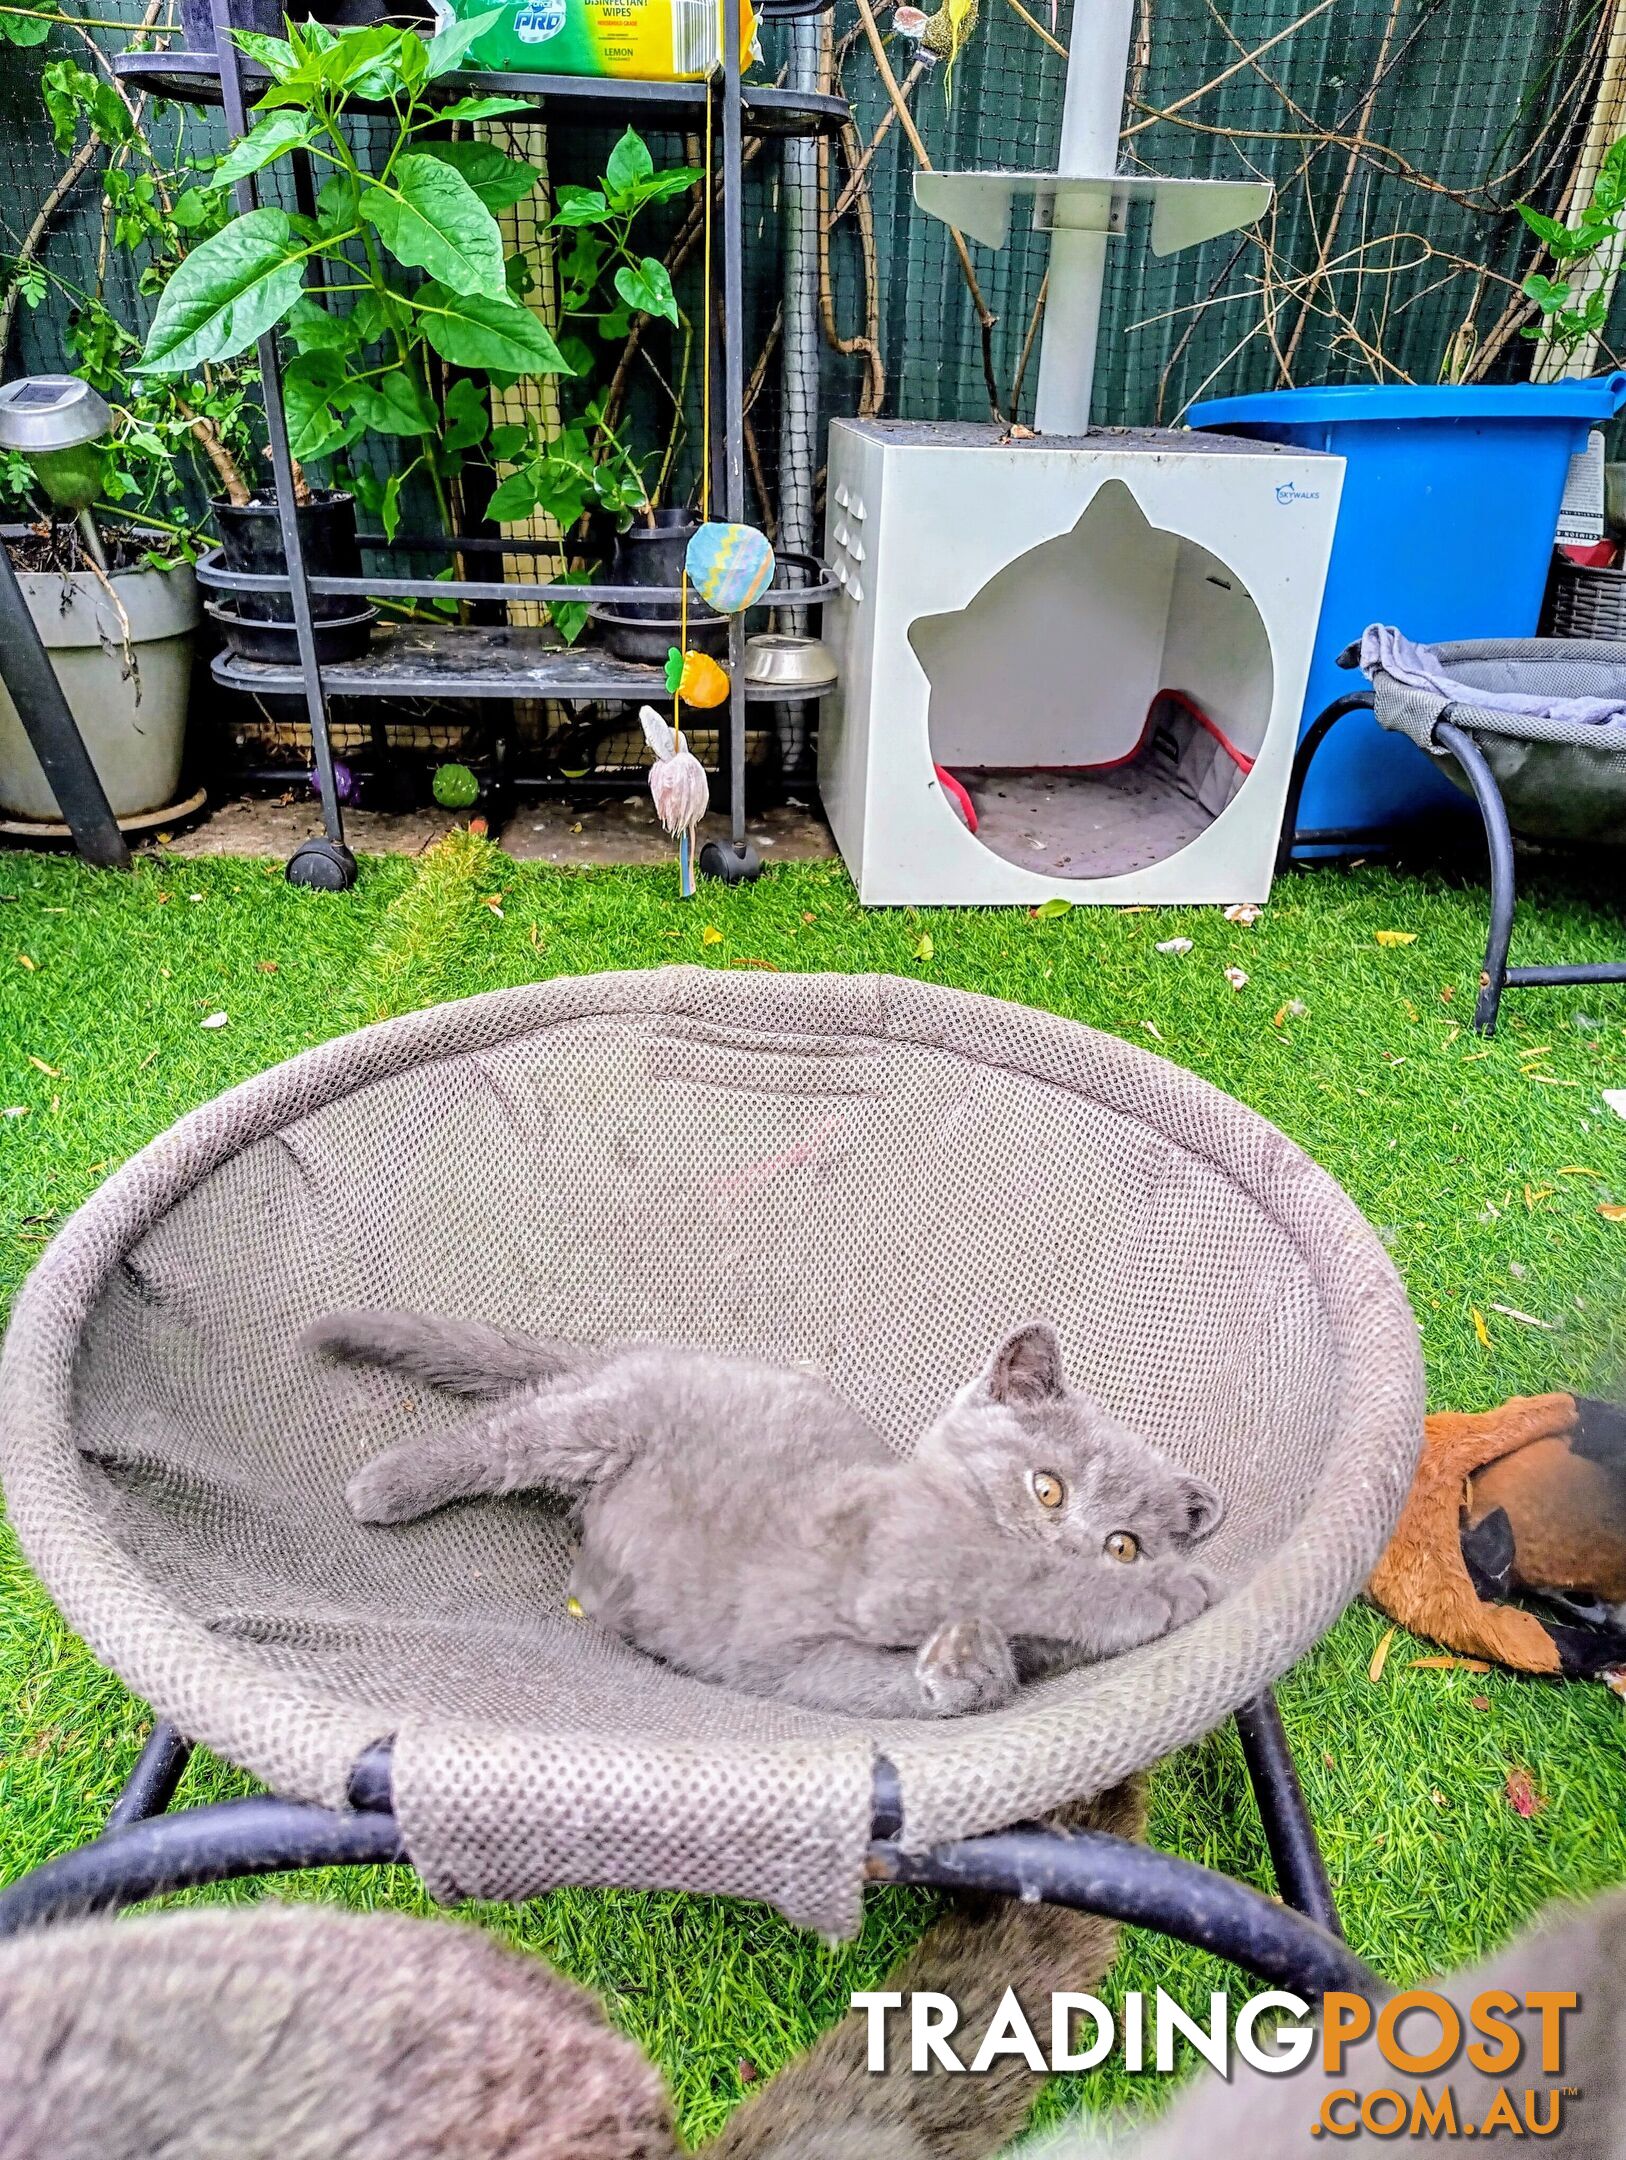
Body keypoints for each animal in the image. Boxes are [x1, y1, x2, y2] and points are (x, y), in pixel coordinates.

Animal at [302, 1304, 1217, 1710]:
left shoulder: (811, 1671)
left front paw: (965, 1666)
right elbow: (1019, 1581)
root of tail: (634, 1349)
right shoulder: (898, 1562)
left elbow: (913, 1686)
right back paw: (388, 1484)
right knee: (507, 1428)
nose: (1079, 1544)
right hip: (602, 1421)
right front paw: (1169, 1596)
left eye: (1125, 1541)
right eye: (1047, 1487)